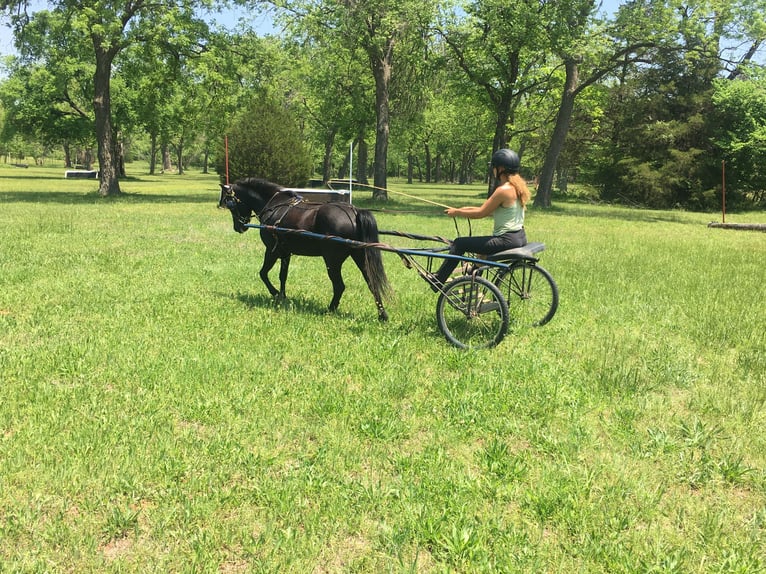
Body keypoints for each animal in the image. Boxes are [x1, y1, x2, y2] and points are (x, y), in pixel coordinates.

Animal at [219, 177, 391, 321]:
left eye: (230, 203)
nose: (239, 227)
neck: (273, 206)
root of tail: (354, 212)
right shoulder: (285, 253)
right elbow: (283, 276)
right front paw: (282, 296)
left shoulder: (272, 250)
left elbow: (263, 273)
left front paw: (275, 293)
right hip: (360, 257)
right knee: (372, 283)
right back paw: (382, 315)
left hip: (332, 261)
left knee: (339, 286)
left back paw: (330, 310)